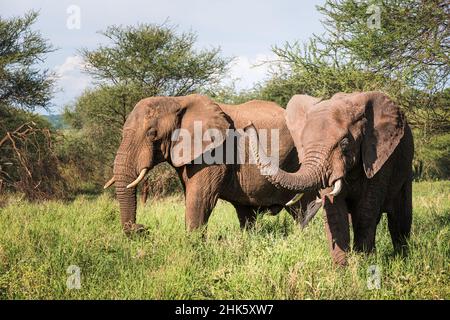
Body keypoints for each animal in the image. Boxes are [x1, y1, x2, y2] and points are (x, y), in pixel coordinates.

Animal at [104, 94, 320, 234]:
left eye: (152, 134)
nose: (141, 228)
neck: (177, 100)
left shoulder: (216, 151)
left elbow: (200, 197)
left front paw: (193, 249)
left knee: (301, 208)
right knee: (247, 213)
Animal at [250, 90, 414, 264]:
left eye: (344, 144)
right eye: (303, 145)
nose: (249, 125)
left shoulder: (380, 157)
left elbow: (366, 210)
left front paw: (363, 263)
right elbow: (334, 209)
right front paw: (343, 268)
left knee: (400, 219)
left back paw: (402, 259)